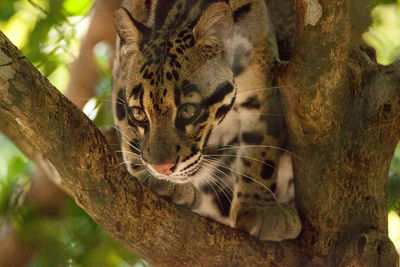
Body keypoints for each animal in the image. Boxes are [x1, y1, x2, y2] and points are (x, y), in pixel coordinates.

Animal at [111, 0, 300, 242]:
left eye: (188, 111)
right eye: (139, 114)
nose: (163, 169)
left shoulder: (263, 89)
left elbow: (261, 148)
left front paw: (258, 209)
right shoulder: (120, 76)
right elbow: (129, 136)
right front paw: (155, 180)